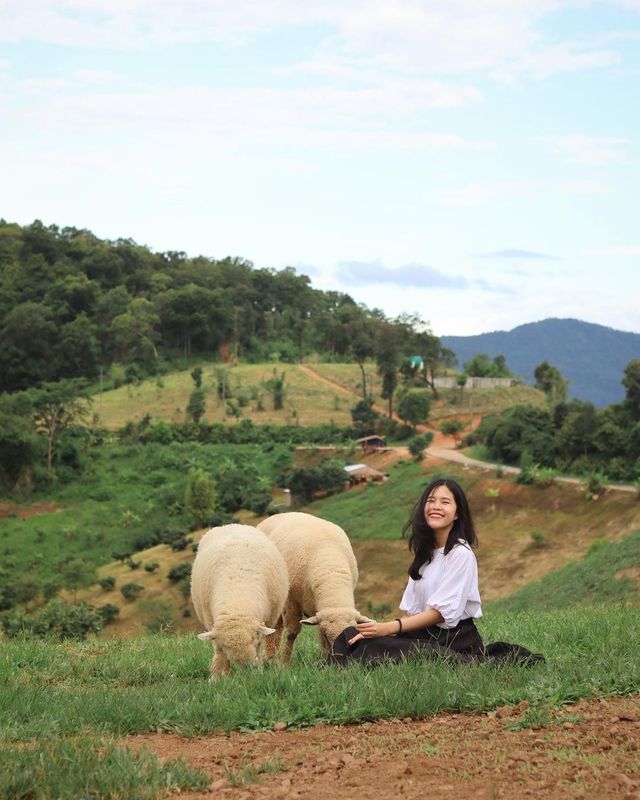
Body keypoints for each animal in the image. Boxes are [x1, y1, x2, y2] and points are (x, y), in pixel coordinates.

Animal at [190, 524, 290, 676]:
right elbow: (218, 652)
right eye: (225, 647)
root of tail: (232, 524)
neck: (237, 601)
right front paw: (218, 675)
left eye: (254, 641)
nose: (248, 669)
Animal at [254, 512, 364, 664]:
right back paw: (271, 659)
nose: (339, 662)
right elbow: (292, 633)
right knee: (273, 627)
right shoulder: (291, 601)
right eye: (327, 635)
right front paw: (285, 663)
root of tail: (276, 515)